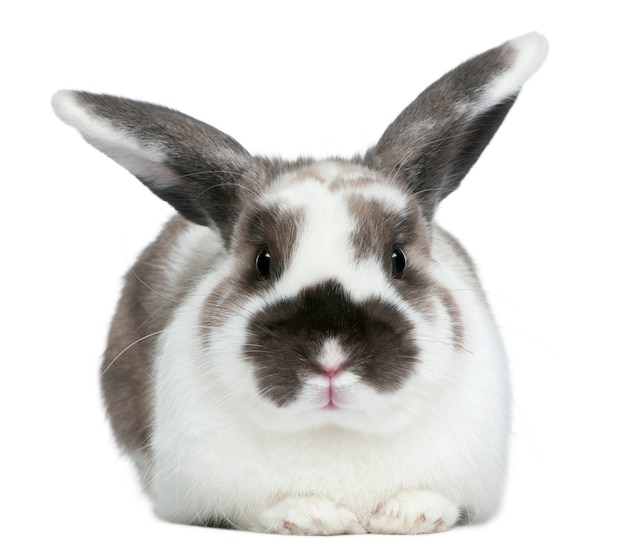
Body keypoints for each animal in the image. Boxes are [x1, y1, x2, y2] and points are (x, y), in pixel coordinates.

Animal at [51, 32, 544, 532]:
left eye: (398, 259)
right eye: (263, 261)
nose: (330, 357)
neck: (335, 431)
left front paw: (409, 516)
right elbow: (261, 508)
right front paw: (313, 517)